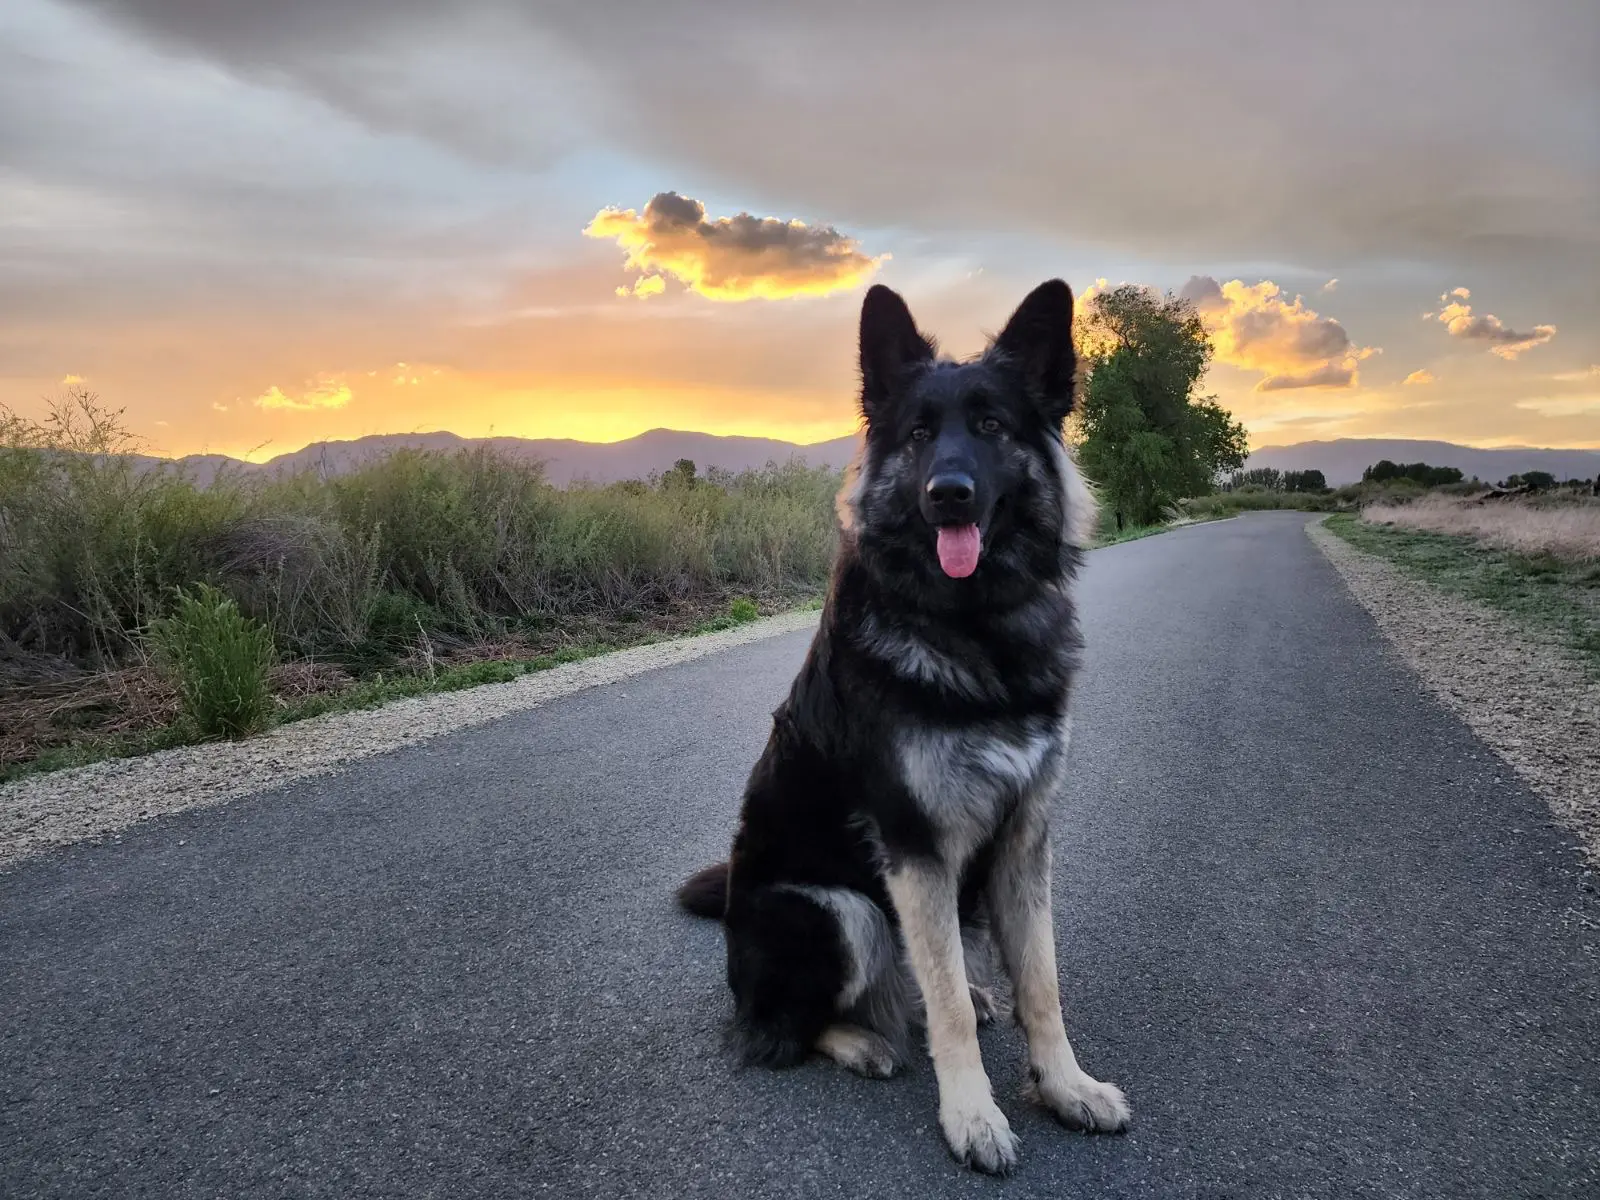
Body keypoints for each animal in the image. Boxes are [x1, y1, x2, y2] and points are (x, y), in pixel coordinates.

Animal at [675, 280, 1126, 1177]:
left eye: (990, 426)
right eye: (919, 434)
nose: (948, 492)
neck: (974, 629)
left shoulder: (1024, 839)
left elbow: (1041, 985)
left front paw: (1066, 1087)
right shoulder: (916, 850)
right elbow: (945, 1008)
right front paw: (972, 1115)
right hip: (842, 910)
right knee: (778, 1029)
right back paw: (859, 1042)